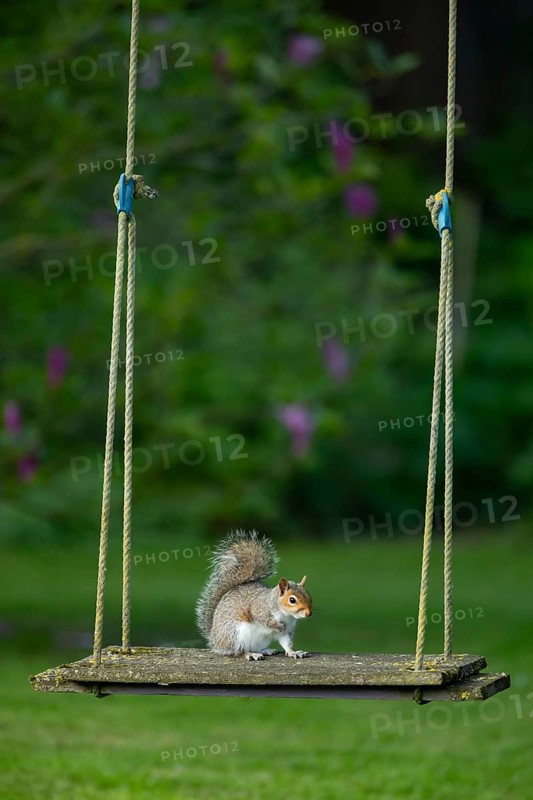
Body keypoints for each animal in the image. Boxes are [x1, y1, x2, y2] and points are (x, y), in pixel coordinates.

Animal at [196, 530, 312, 661]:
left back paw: (265, 650)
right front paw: (278, 626)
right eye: (292, 600)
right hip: (236, 635)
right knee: (238, 651)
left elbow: (286, 643)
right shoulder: (260, 608)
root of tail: (215, 641)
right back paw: (250, 654)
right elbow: (263, 619)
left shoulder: (288, 629)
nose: (308, 613)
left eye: (309, 596)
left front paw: (293, 652)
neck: (285, 614)